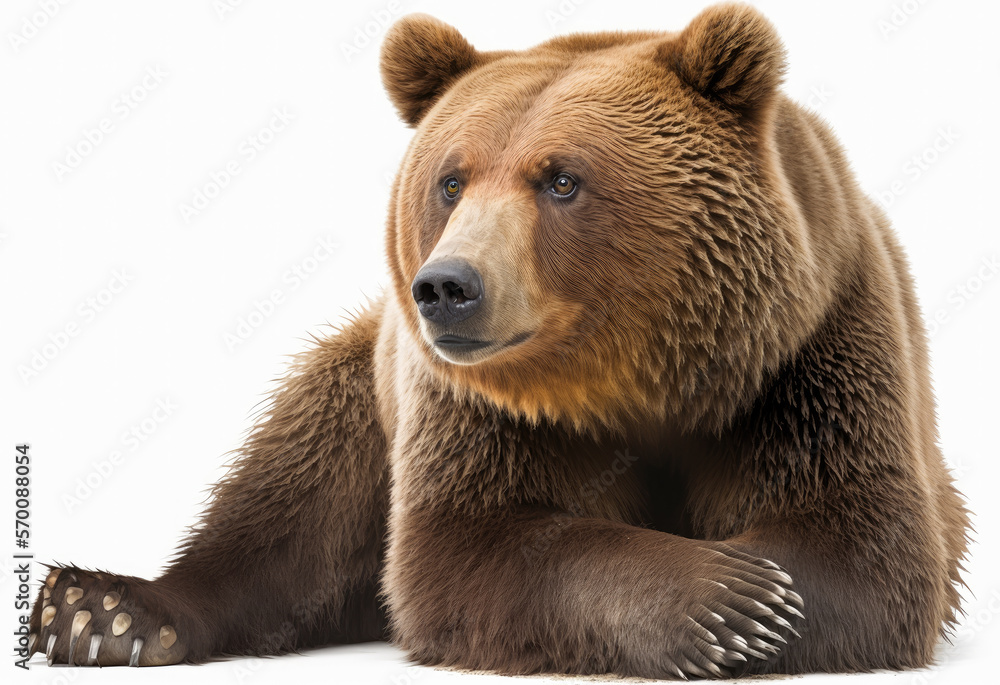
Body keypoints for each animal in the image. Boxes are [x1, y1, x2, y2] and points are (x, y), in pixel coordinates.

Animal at [29, 3, 969, 679]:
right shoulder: (474, 403)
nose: (448, 286)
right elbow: (473, 543)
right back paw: (105, 611)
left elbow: (857, 544)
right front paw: (722, 600)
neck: (643, 374)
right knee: (292, 491)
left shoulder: (811, 351)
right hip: (362, 383)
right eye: (451, 179)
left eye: (561, 179)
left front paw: (763, 596)